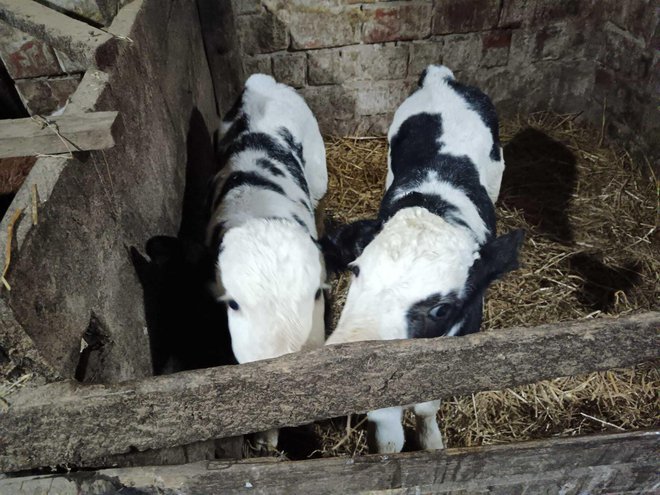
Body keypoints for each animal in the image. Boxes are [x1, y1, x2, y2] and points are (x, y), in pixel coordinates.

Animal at [322, 65, 524, 454]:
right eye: (356, 271)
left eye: (441, 308)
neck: (436, 202)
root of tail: (441, 79)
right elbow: (388, 433)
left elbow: (426, 406)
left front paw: (431, 442)